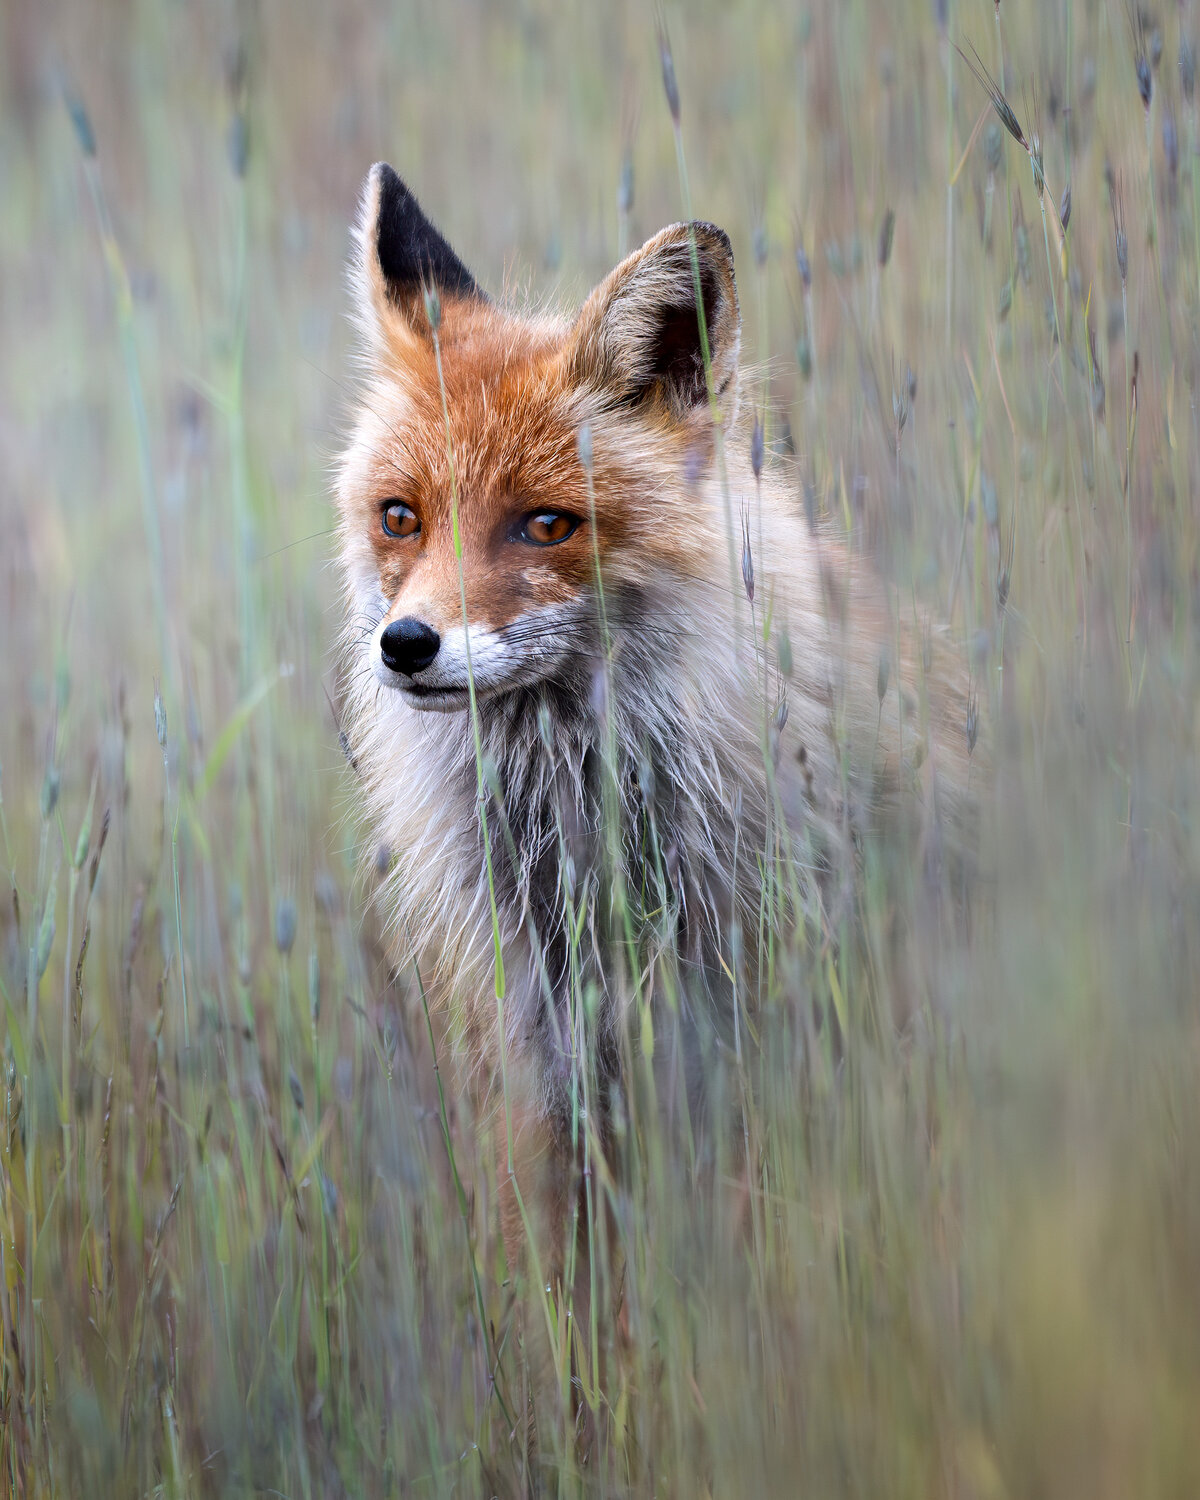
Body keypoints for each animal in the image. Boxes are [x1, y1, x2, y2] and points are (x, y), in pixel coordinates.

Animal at [335, 162, 976, 1420]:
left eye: (546, 523)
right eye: (401, 517)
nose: (407, 645)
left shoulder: (764, 1057)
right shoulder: (557, 1085)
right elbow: (583, 1335)